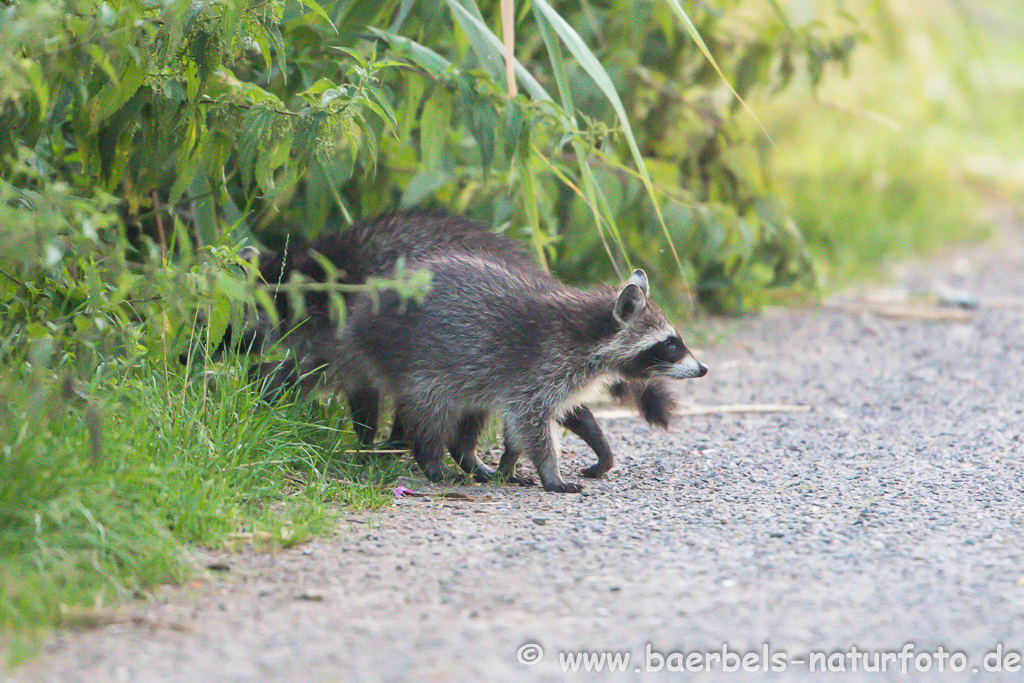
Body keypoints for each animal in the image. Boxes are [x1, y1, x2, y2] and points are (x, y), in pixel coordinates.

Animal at [331, 253, 708, 493]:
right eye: (669, 344)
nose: (702, 368)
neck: (589, 333)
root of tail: (360, 321)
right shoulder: (541, 368)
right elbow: (532, 424)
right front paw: (551, 473)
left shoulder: (553, 377)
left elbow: (559, 416)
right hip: (419, 363)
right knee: (430, 414)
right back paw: (433, 461)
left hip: (466, 375)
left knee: (471, 414)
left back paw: (469, 459)